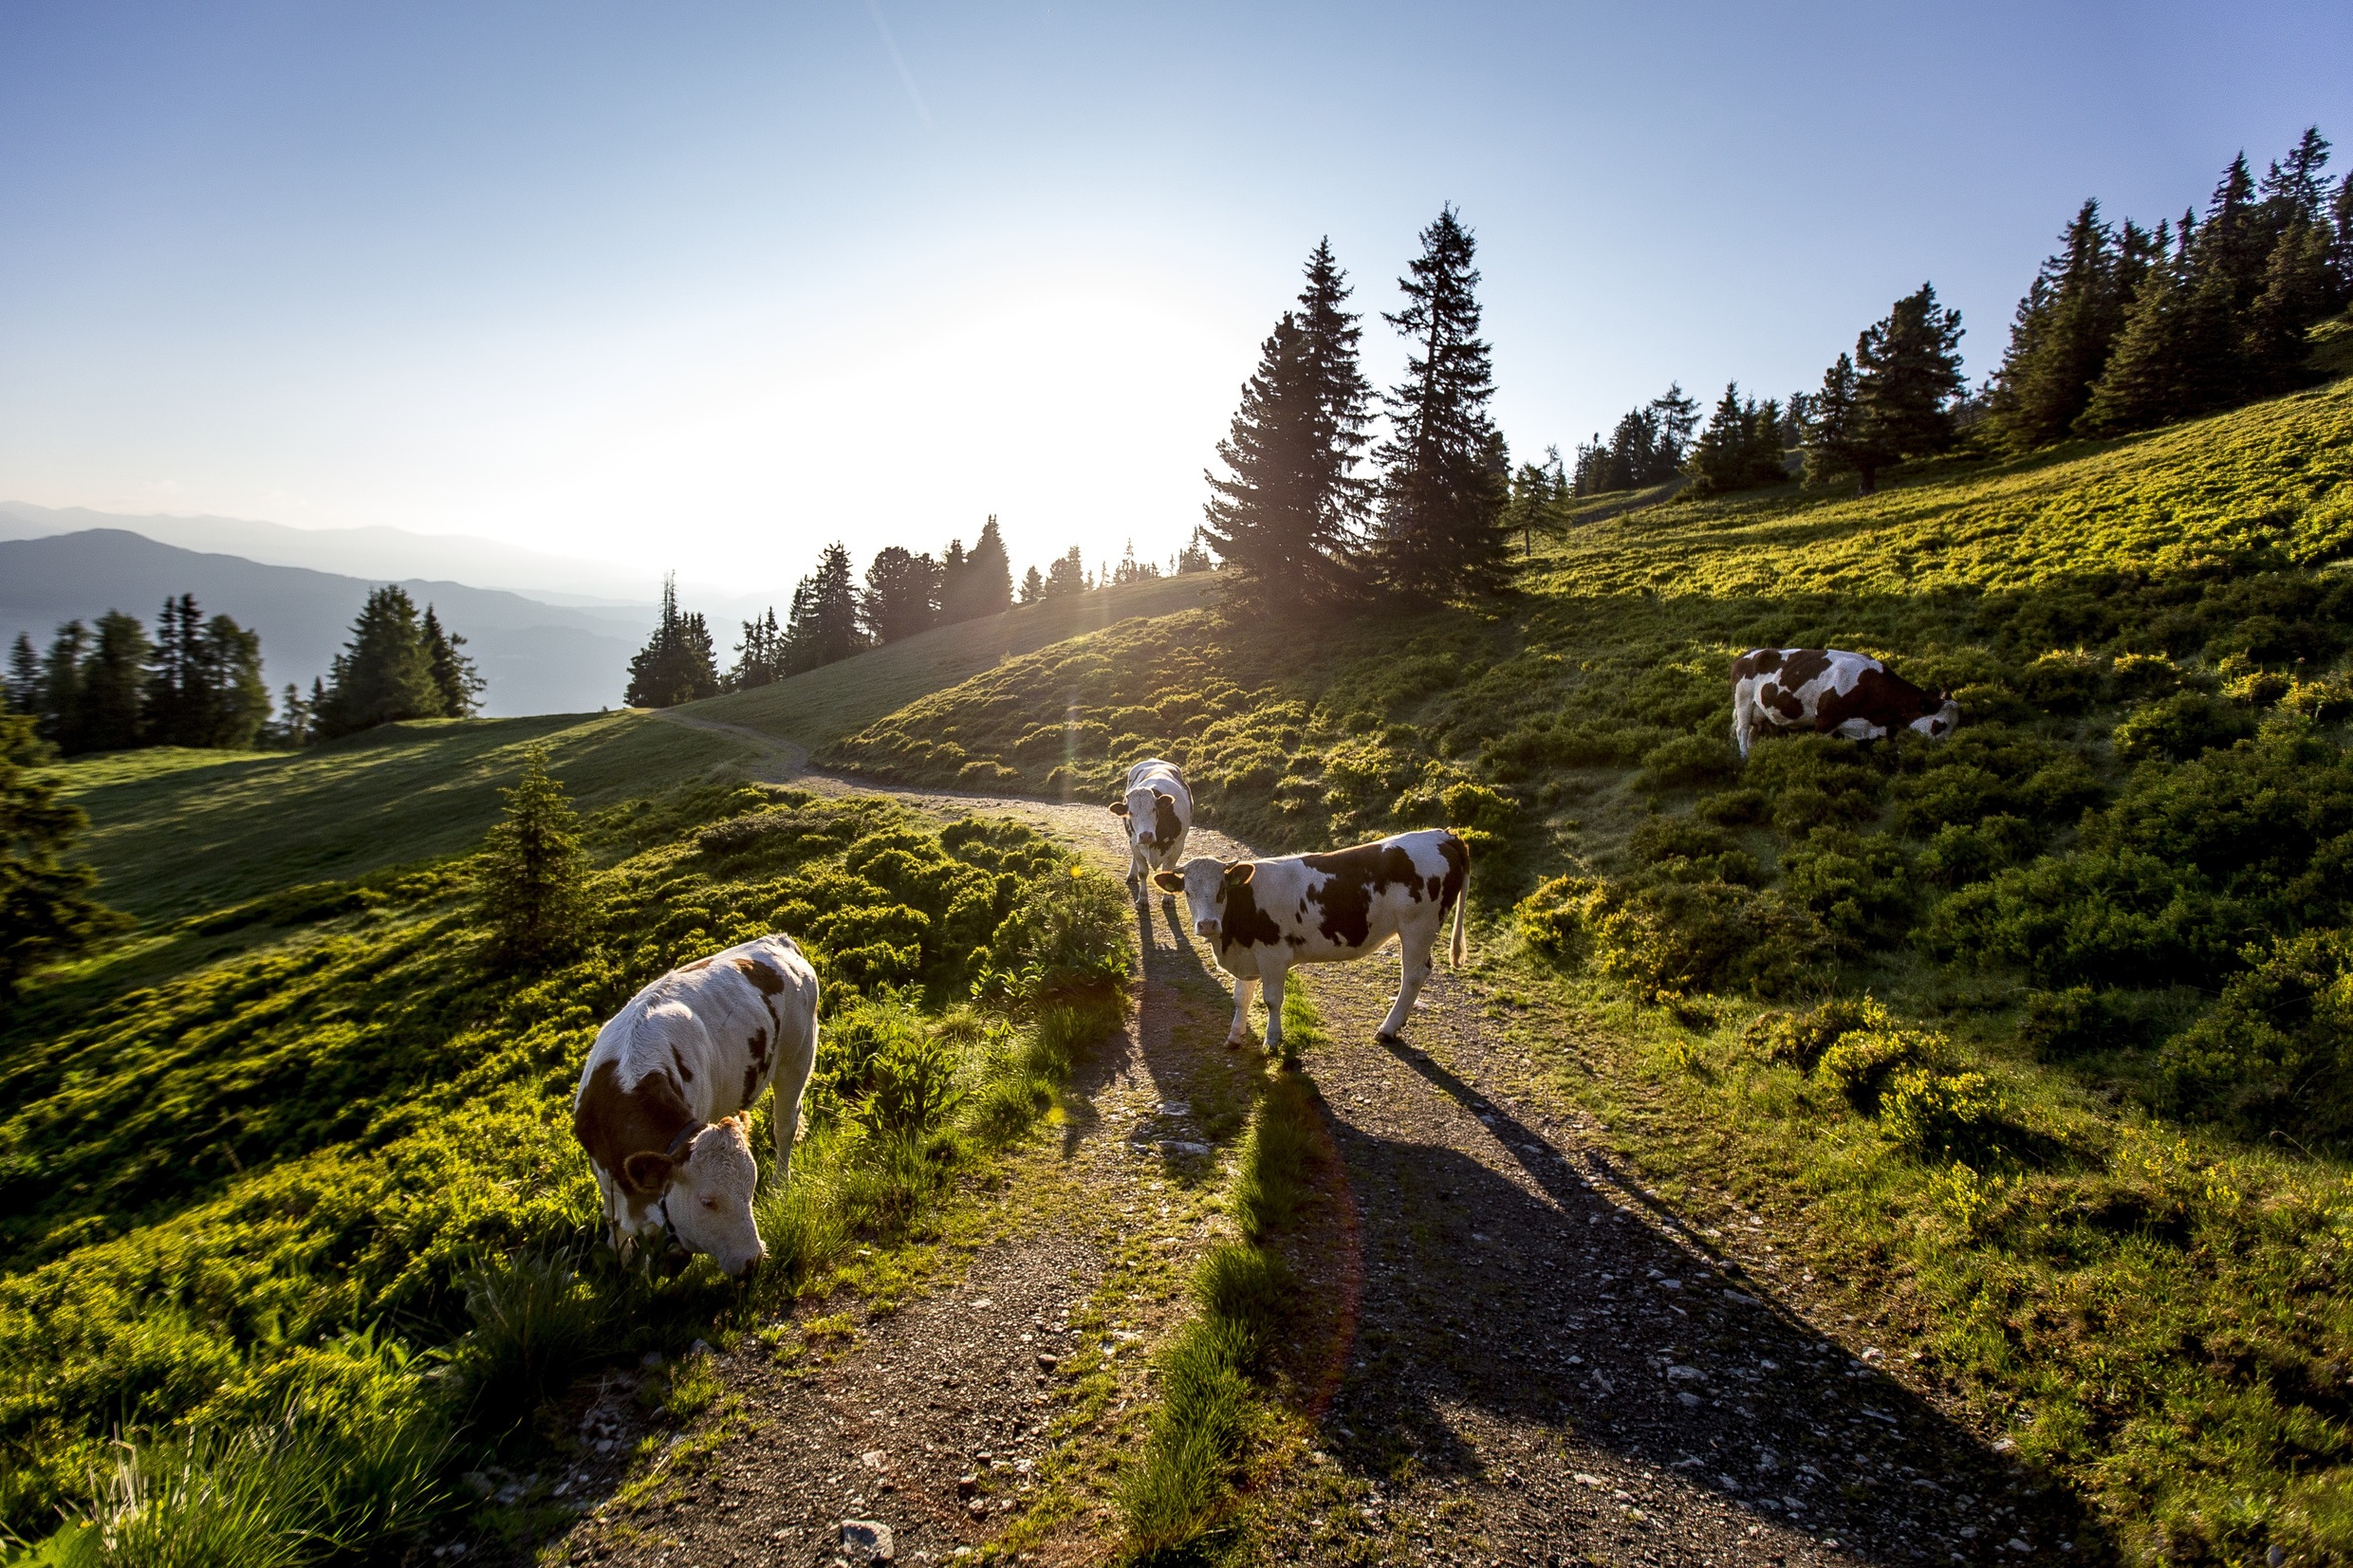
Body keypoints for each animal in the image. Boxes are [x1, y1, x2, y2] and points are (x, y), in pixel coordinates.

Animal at [574, 931, 824, 1279]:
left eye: (750, 1190)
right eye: (708, 1201)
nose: (753, 1260)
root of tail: (778, 940)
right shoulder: (605, 1177)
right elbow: (616, 1230)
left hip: (797, 1057)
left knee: (784, 1126)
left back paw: (780, 1185)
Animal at [1148, 827, 1458, 1062]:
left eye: (1222, 890)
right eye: (1188, 892)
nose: (1208, 925)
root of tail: (1442, 835)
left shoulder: (1273, 956)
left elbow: (1272, 1000)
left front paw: (1272, 1041)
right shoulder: (1248, 955)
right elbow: (1241, 997)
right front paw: (1234, 1036)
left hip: (1417, 928)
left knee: (1413, 975)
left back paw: (1388, 1028)